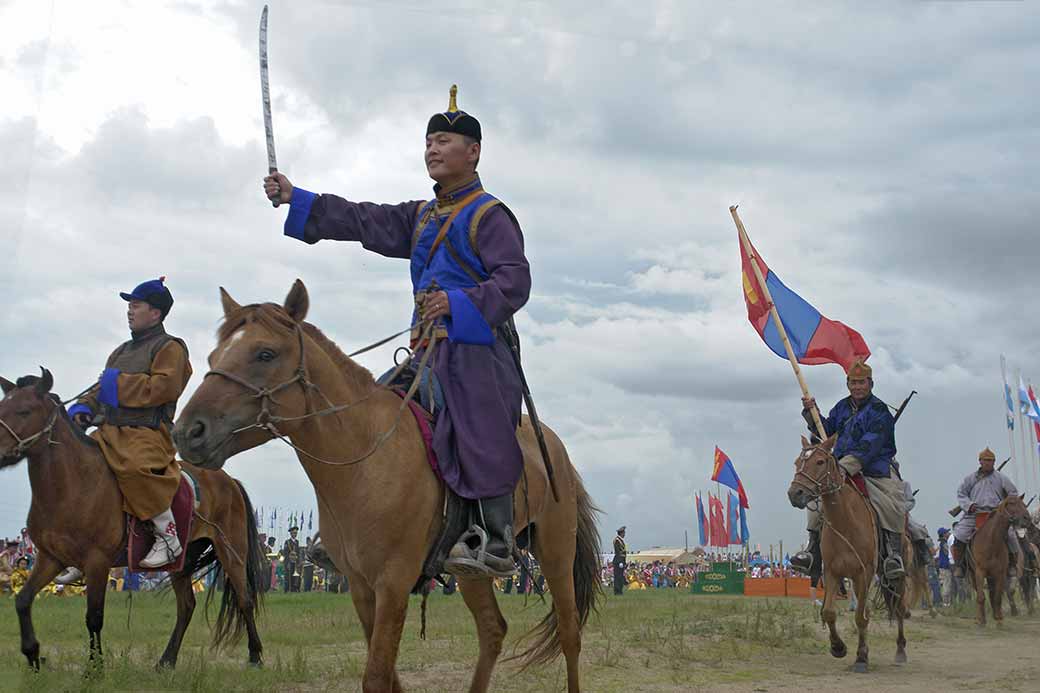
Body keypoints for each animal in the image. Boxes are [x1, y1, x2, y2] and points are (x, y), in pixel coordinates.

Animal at [0, 372, 266, 670]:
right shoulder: (50, 558)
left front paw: (95, 668)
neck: (72, 485)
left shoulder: (97, 561)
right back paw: (166, 660)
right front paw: (33, 654)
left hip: (232, 551)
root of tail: (229, 481)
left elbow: (94, 617)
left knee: (244, 599)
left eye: (24, 411)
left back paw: (255, 655)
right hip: (181, 560)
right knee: (186, 606)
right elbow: (23, 600)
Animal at [166, 280, 599, 690]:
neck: (365, 463)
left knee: (570, 633)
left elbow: (376, 675)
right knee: (493, 630)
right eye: (213, 358)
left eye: (265, 354)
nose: (188, 432)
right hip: (470, 572)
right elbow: (387, 674)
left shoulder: (393, 583)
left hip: (556, 553)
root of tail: (555, 446)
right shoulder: (361, 586)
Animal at [786, 434, 911, 670]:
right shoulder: (832, 572)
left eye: (820, 462)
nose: (795, 494)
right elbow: (828, 612)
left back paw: (900, 650)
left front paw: (861, 657)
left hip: (897, 575)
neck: (845, 521)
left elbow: (862, 617)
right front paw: (838, 647)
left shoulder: (864, 573)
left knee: (899, 608)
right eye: (797, 463)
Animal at [965, 491, 1031, 624]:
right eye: (1012, 503)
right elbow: (981, 596)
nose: (1027, 519)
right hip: (973, 575)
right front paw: (981, 621)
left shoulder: (1000, 573)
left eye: (1023, 504)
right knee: (980, 594)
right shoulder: (979, 572)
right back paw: (980, 617)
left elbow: (997, 597)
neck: (991, 542)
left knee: (993, 594)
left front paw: (999, 618)